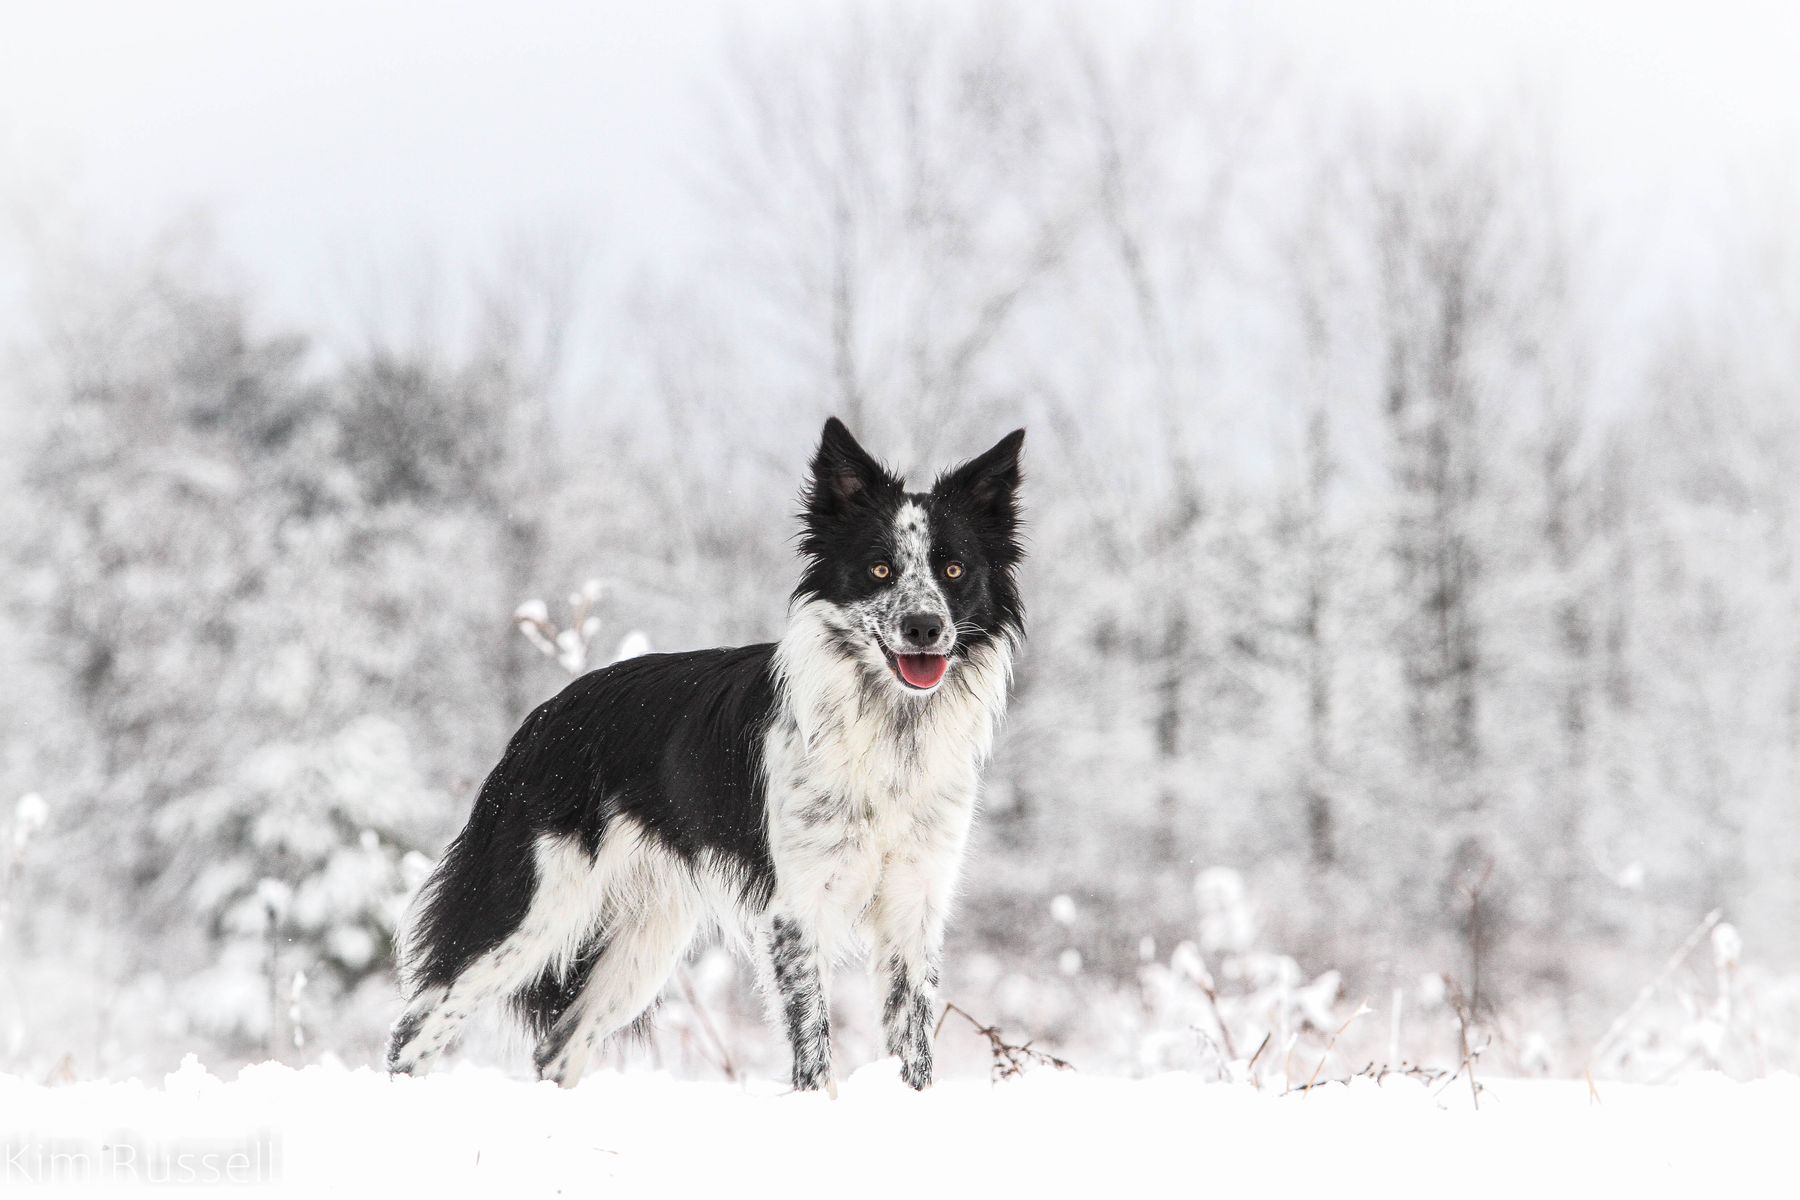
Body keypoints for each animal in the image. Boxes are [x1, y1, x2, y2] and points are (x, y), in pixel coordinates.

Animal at [385, 417, 1022, 1093]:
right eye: (879, 569)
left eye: (953, 570)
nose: (924, 627)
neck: (890, 729)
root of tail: (543, 717)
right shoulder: (798, 913)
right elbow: (815, 1054)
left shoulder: (914, 908)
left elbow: (914, 1052)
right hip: (535, 908)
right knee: (416, 1028)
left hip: (645, 940)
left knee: (557, 1048)